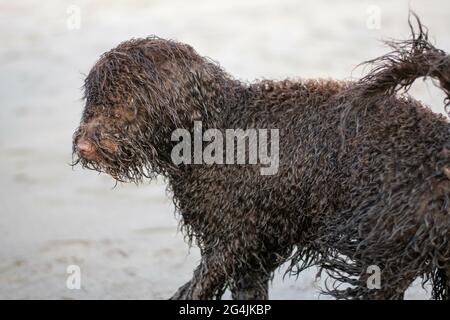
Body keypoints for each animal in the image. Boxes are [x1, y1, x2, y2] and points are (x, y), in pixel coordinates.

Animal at [72, 16, 450, 298]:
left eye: (128, 100)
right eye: (96, 98)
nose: (84, 146)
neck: (216, 128)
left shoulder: (231, 239)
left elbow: (195, 288)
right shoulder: (253, 255)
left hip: (388, 254)